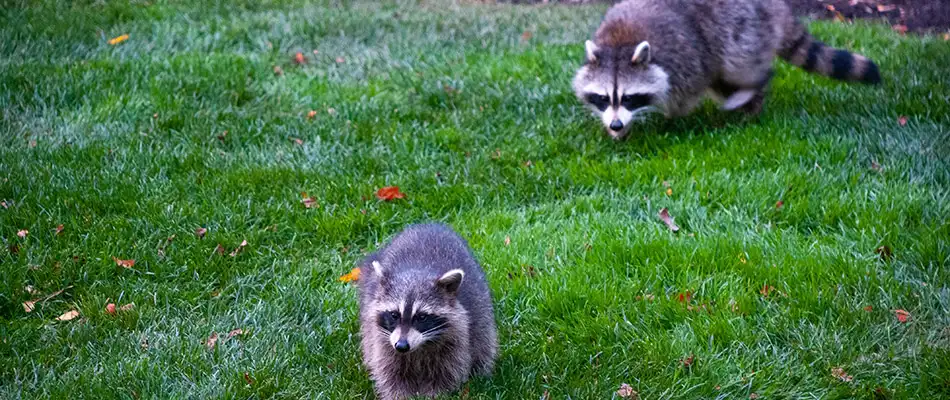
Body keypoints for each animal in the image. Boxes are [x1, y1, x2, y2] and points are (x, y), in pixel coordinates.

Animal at [358, 223, 498, 400]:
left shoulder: (456, 337)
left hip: (481, 305)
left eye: (422, 317)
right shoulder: (383, 341)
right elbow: (390, 372)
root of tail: (429, 224)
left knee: (483, 340)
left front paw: (434, 394)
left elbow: (447, 372)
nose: (402, 346)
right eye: (394, 315)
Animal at [573, 0, 882, 139]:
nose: (616, 124)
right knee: (721, 79)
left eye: (629, 97)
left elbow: (683, 97)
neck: (618, 44)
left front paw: (667, 117)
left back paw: (752, 91)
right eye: (603, 98)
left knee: (738, 67)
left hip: (742, 27)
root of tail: (776, 6)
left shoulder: (684, 57)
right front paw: (618, 131)